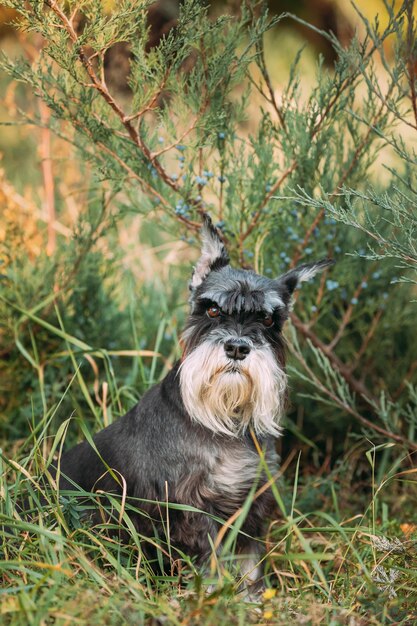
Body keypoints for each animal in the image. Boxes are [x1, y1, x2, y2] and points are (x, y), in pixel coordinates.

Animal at [53, 214, 334, 584]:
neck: (225, 419)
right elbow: (212, 562)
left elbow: (250, 566)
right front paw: (217, 594)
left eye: (268, 318)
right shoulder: (189, 509)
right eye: (212, 310)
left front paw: (251, 596)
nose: (237, 347)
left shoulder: (250, 506)